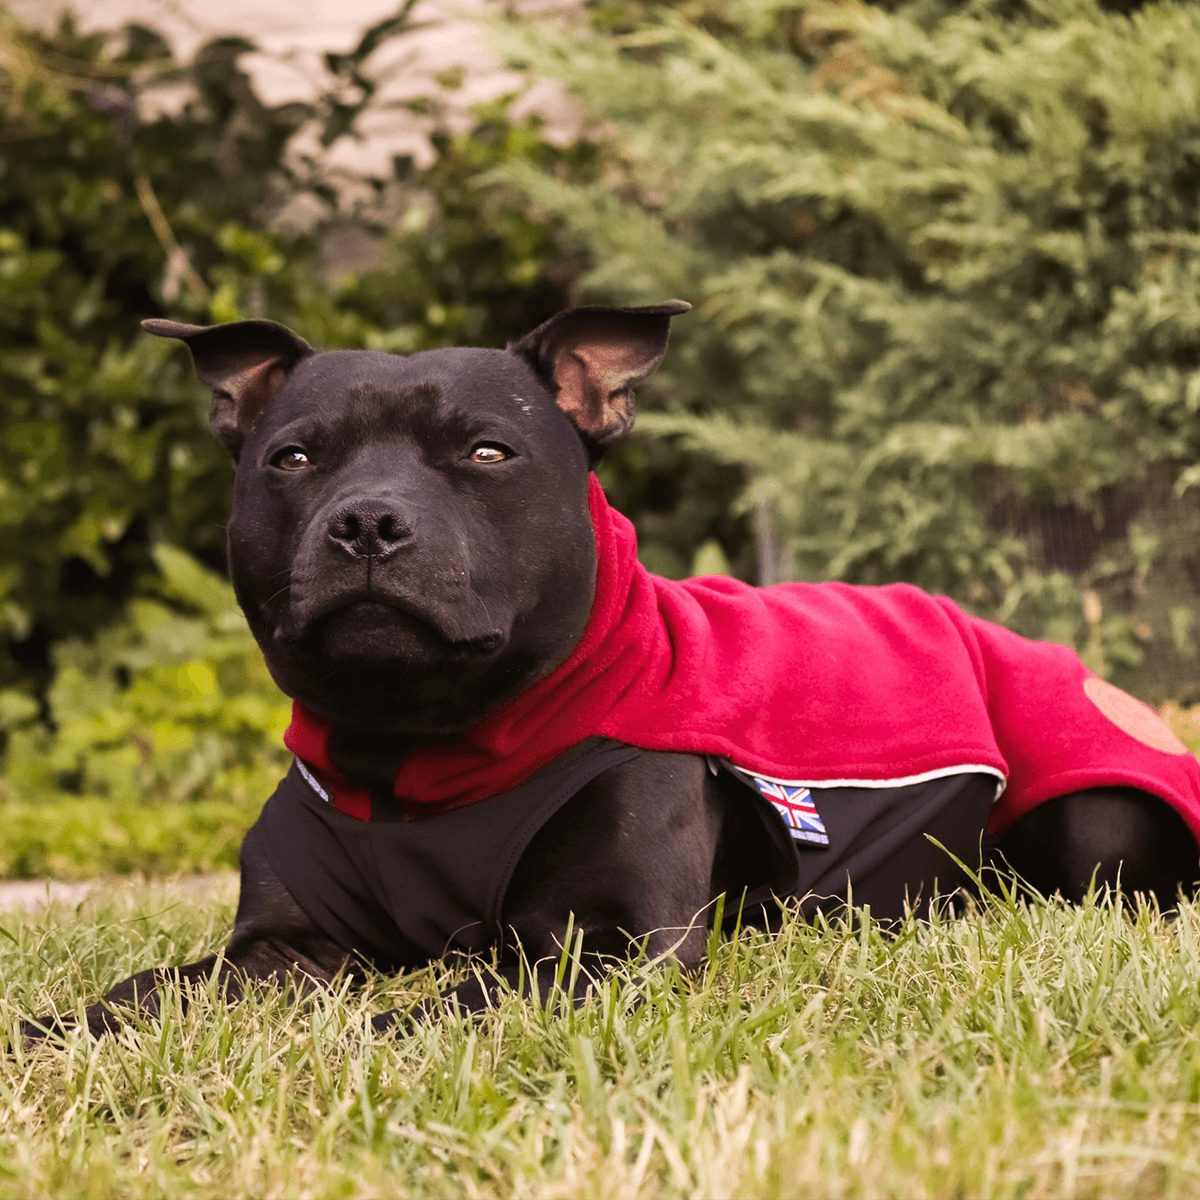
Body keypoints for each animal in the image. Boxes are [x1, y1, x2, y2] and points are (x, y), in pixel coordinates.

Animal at [23, 302, 1200, 1041]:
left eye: (488, 453)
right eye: (293, 458)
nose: (366, 522)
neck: (415, 754)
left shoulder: (613, 947)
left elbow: (453, 1001)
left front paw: (365, 1033)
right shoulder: (283, 941)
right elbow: (151, 991)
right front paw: (58, 1026)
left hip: (1092, 812)